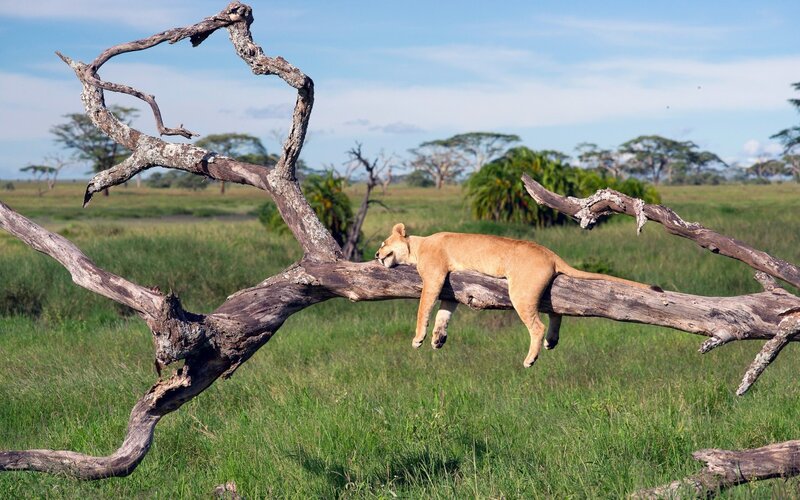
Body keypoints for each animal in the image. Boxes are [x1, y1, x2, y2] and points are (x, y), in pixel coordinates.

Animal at [375, 223, 659, 367]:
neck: (418, 246)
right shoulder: (449, 287)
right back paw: (552, 341)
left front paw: (418, 339)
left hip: (522, 292)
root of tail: (550, 253)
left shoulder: (434, 276)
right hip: (540, 292)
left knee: (537, 326)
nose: (376, 255)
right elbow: (444, 313)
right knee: (556, 313)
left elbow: (424, 308)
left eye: (383, 243)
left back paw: (531, 358)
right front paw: (438, 339)